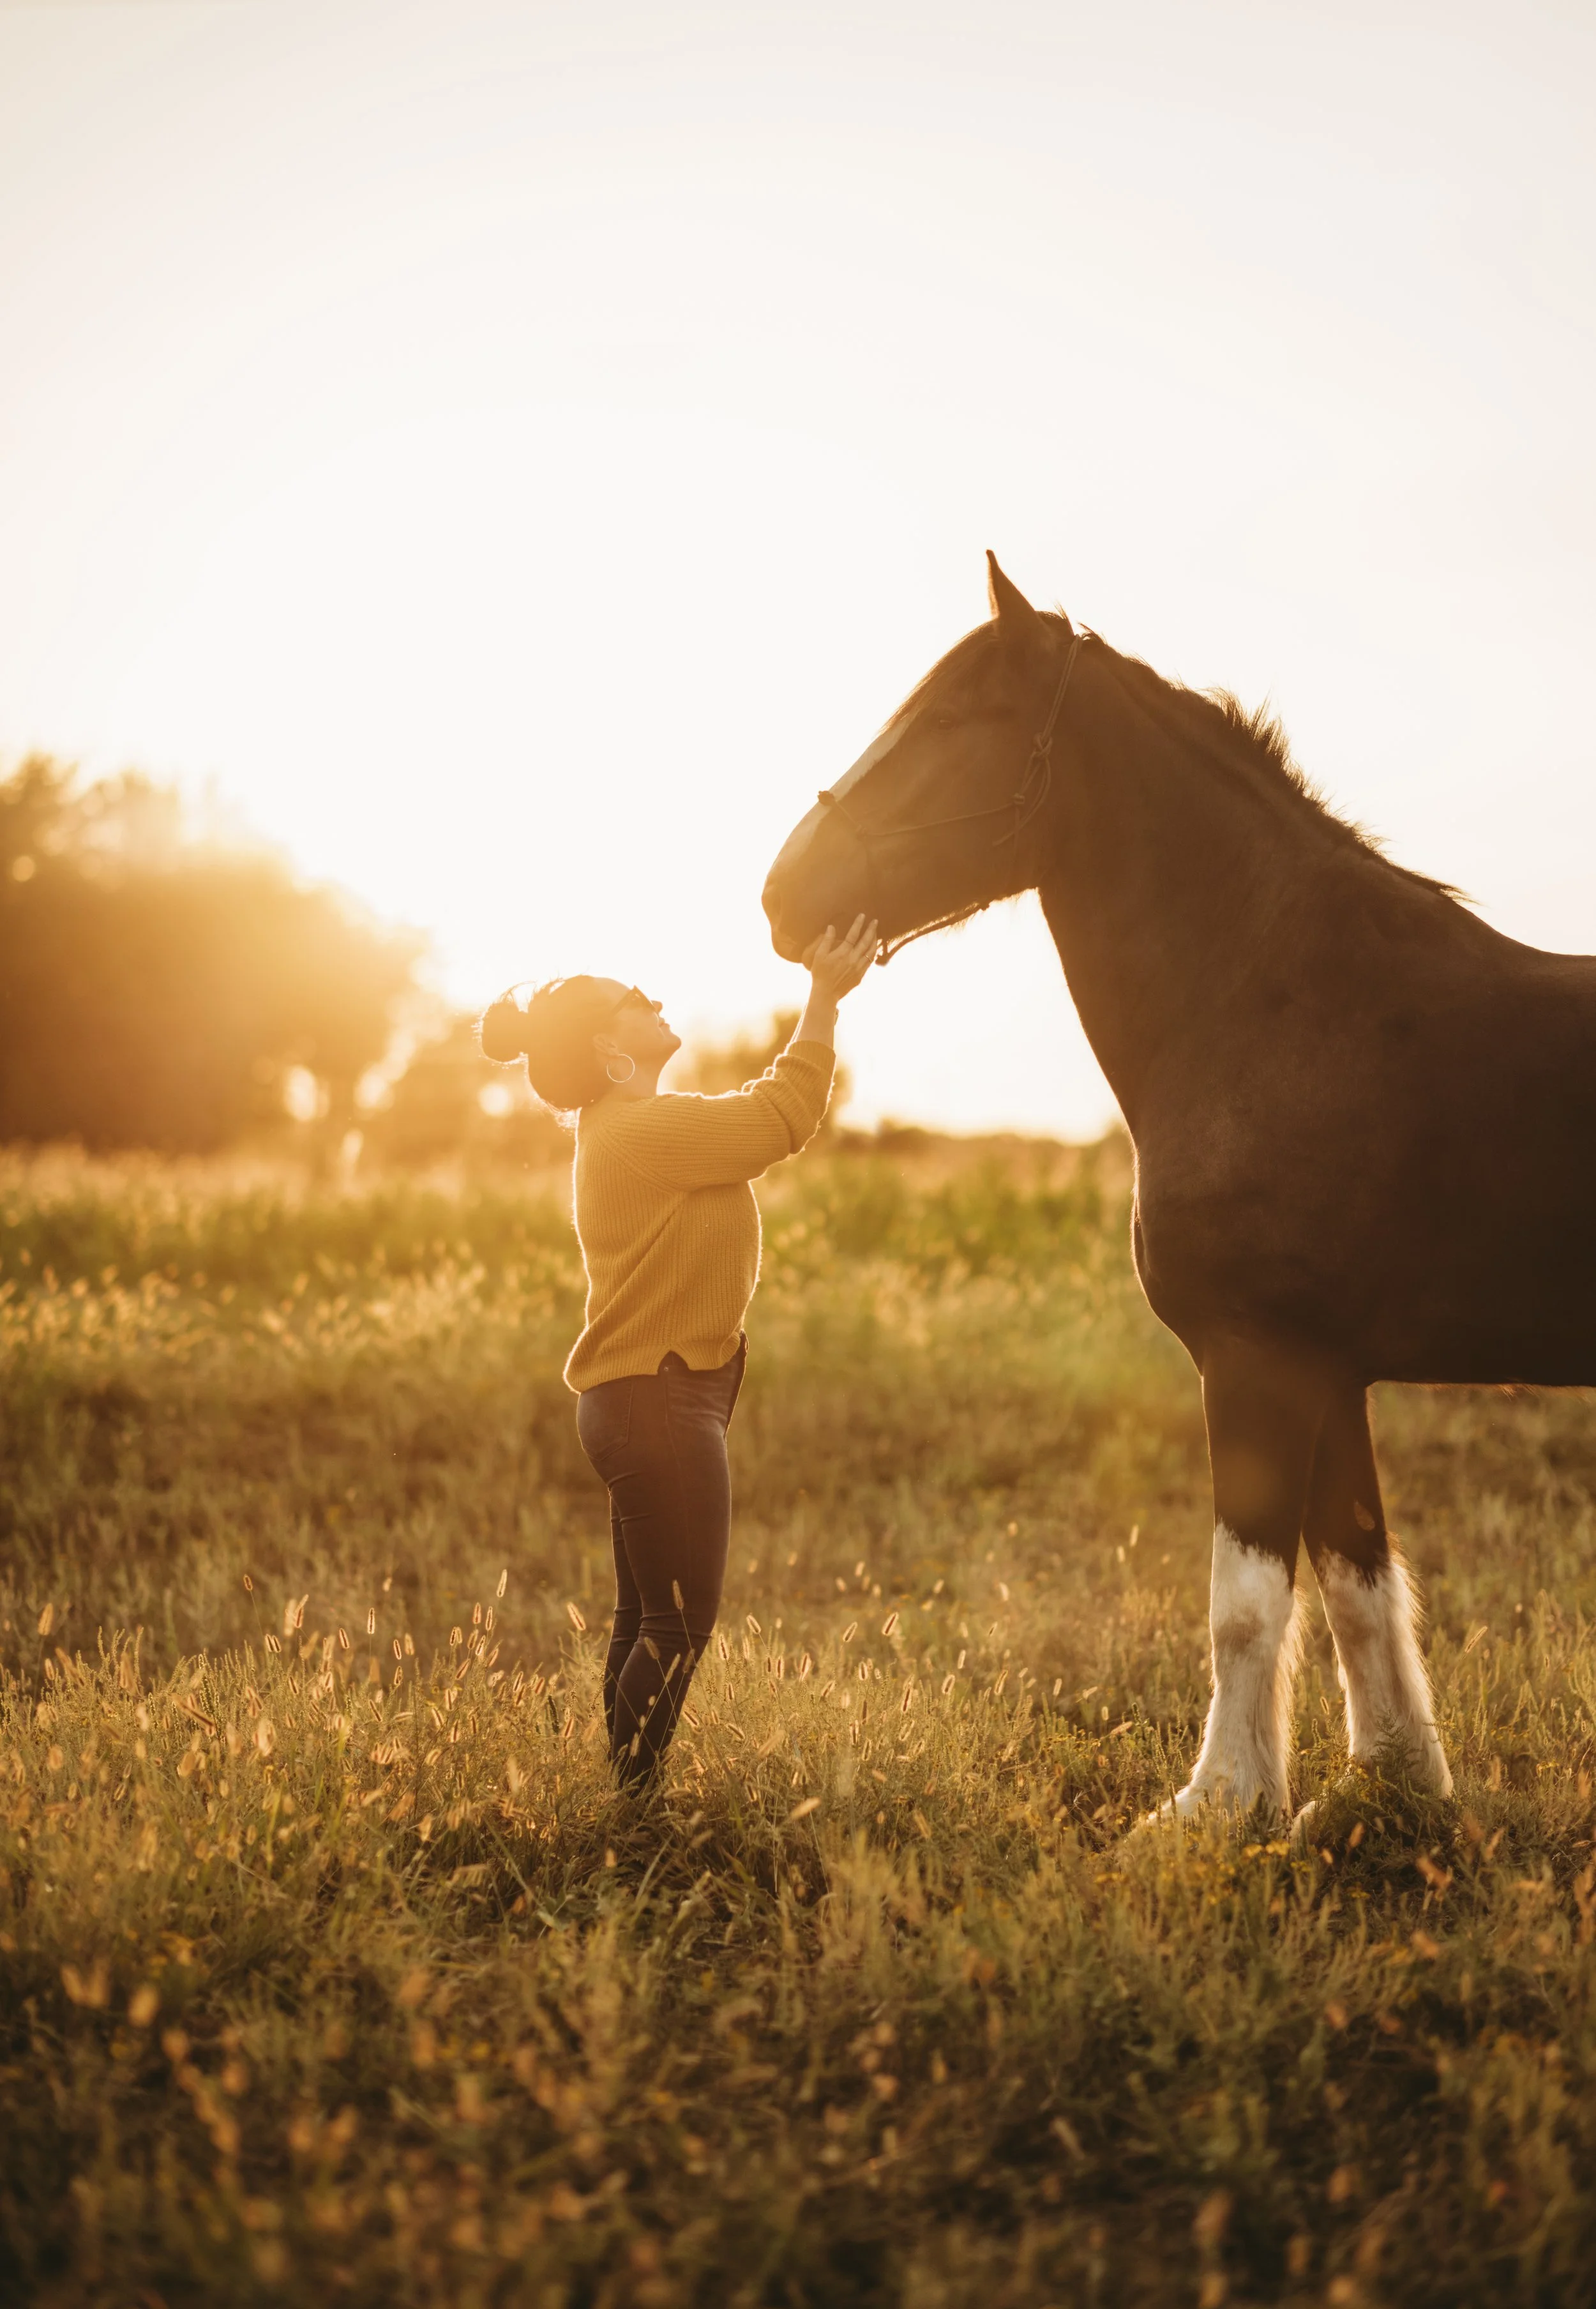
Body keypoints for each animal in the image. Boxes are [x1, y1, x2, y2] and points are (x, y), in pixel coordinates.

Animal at [762, 554, 1596, 1822]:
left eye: (952, 718)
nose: (782, 895)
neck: (1281, 1003)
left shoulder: (1259, 1362)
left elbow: (1245, 1605)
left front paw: (1216, 1806)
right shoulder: (1329, 1372)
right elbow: (1356, 1579)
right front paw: (1390, 1785)